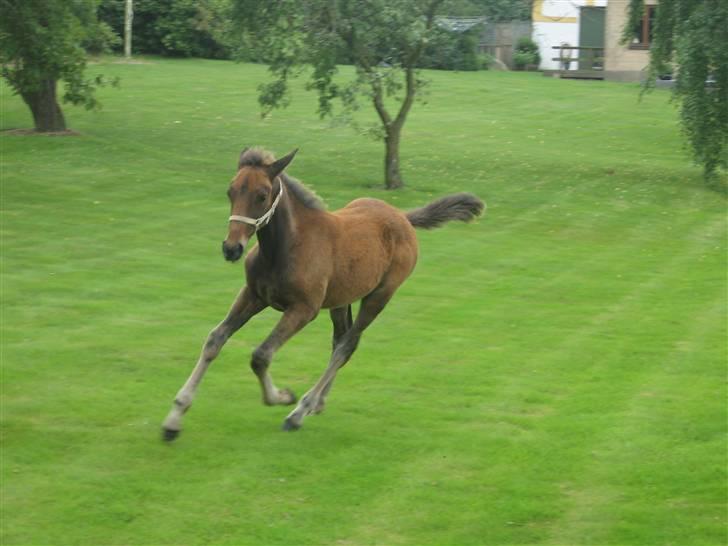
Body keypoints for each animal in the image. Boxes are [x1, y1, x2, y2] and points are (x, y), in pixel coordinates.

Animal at [162, 146, 486, 438]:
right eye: (230, 191)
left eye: (262, 195)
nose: (231, 249)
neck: (284, 248)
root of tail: (403, 217)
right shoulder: (253, 295)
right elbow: (215, 340)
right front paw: (174, 418)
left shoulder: (304, 309)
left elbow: (261, 355)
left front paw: (283, 397)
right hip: (341, 300)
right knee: (340, 341)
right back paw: (316, 402)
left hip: (379, 296)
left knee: (346, 346)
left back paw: (299, 412)